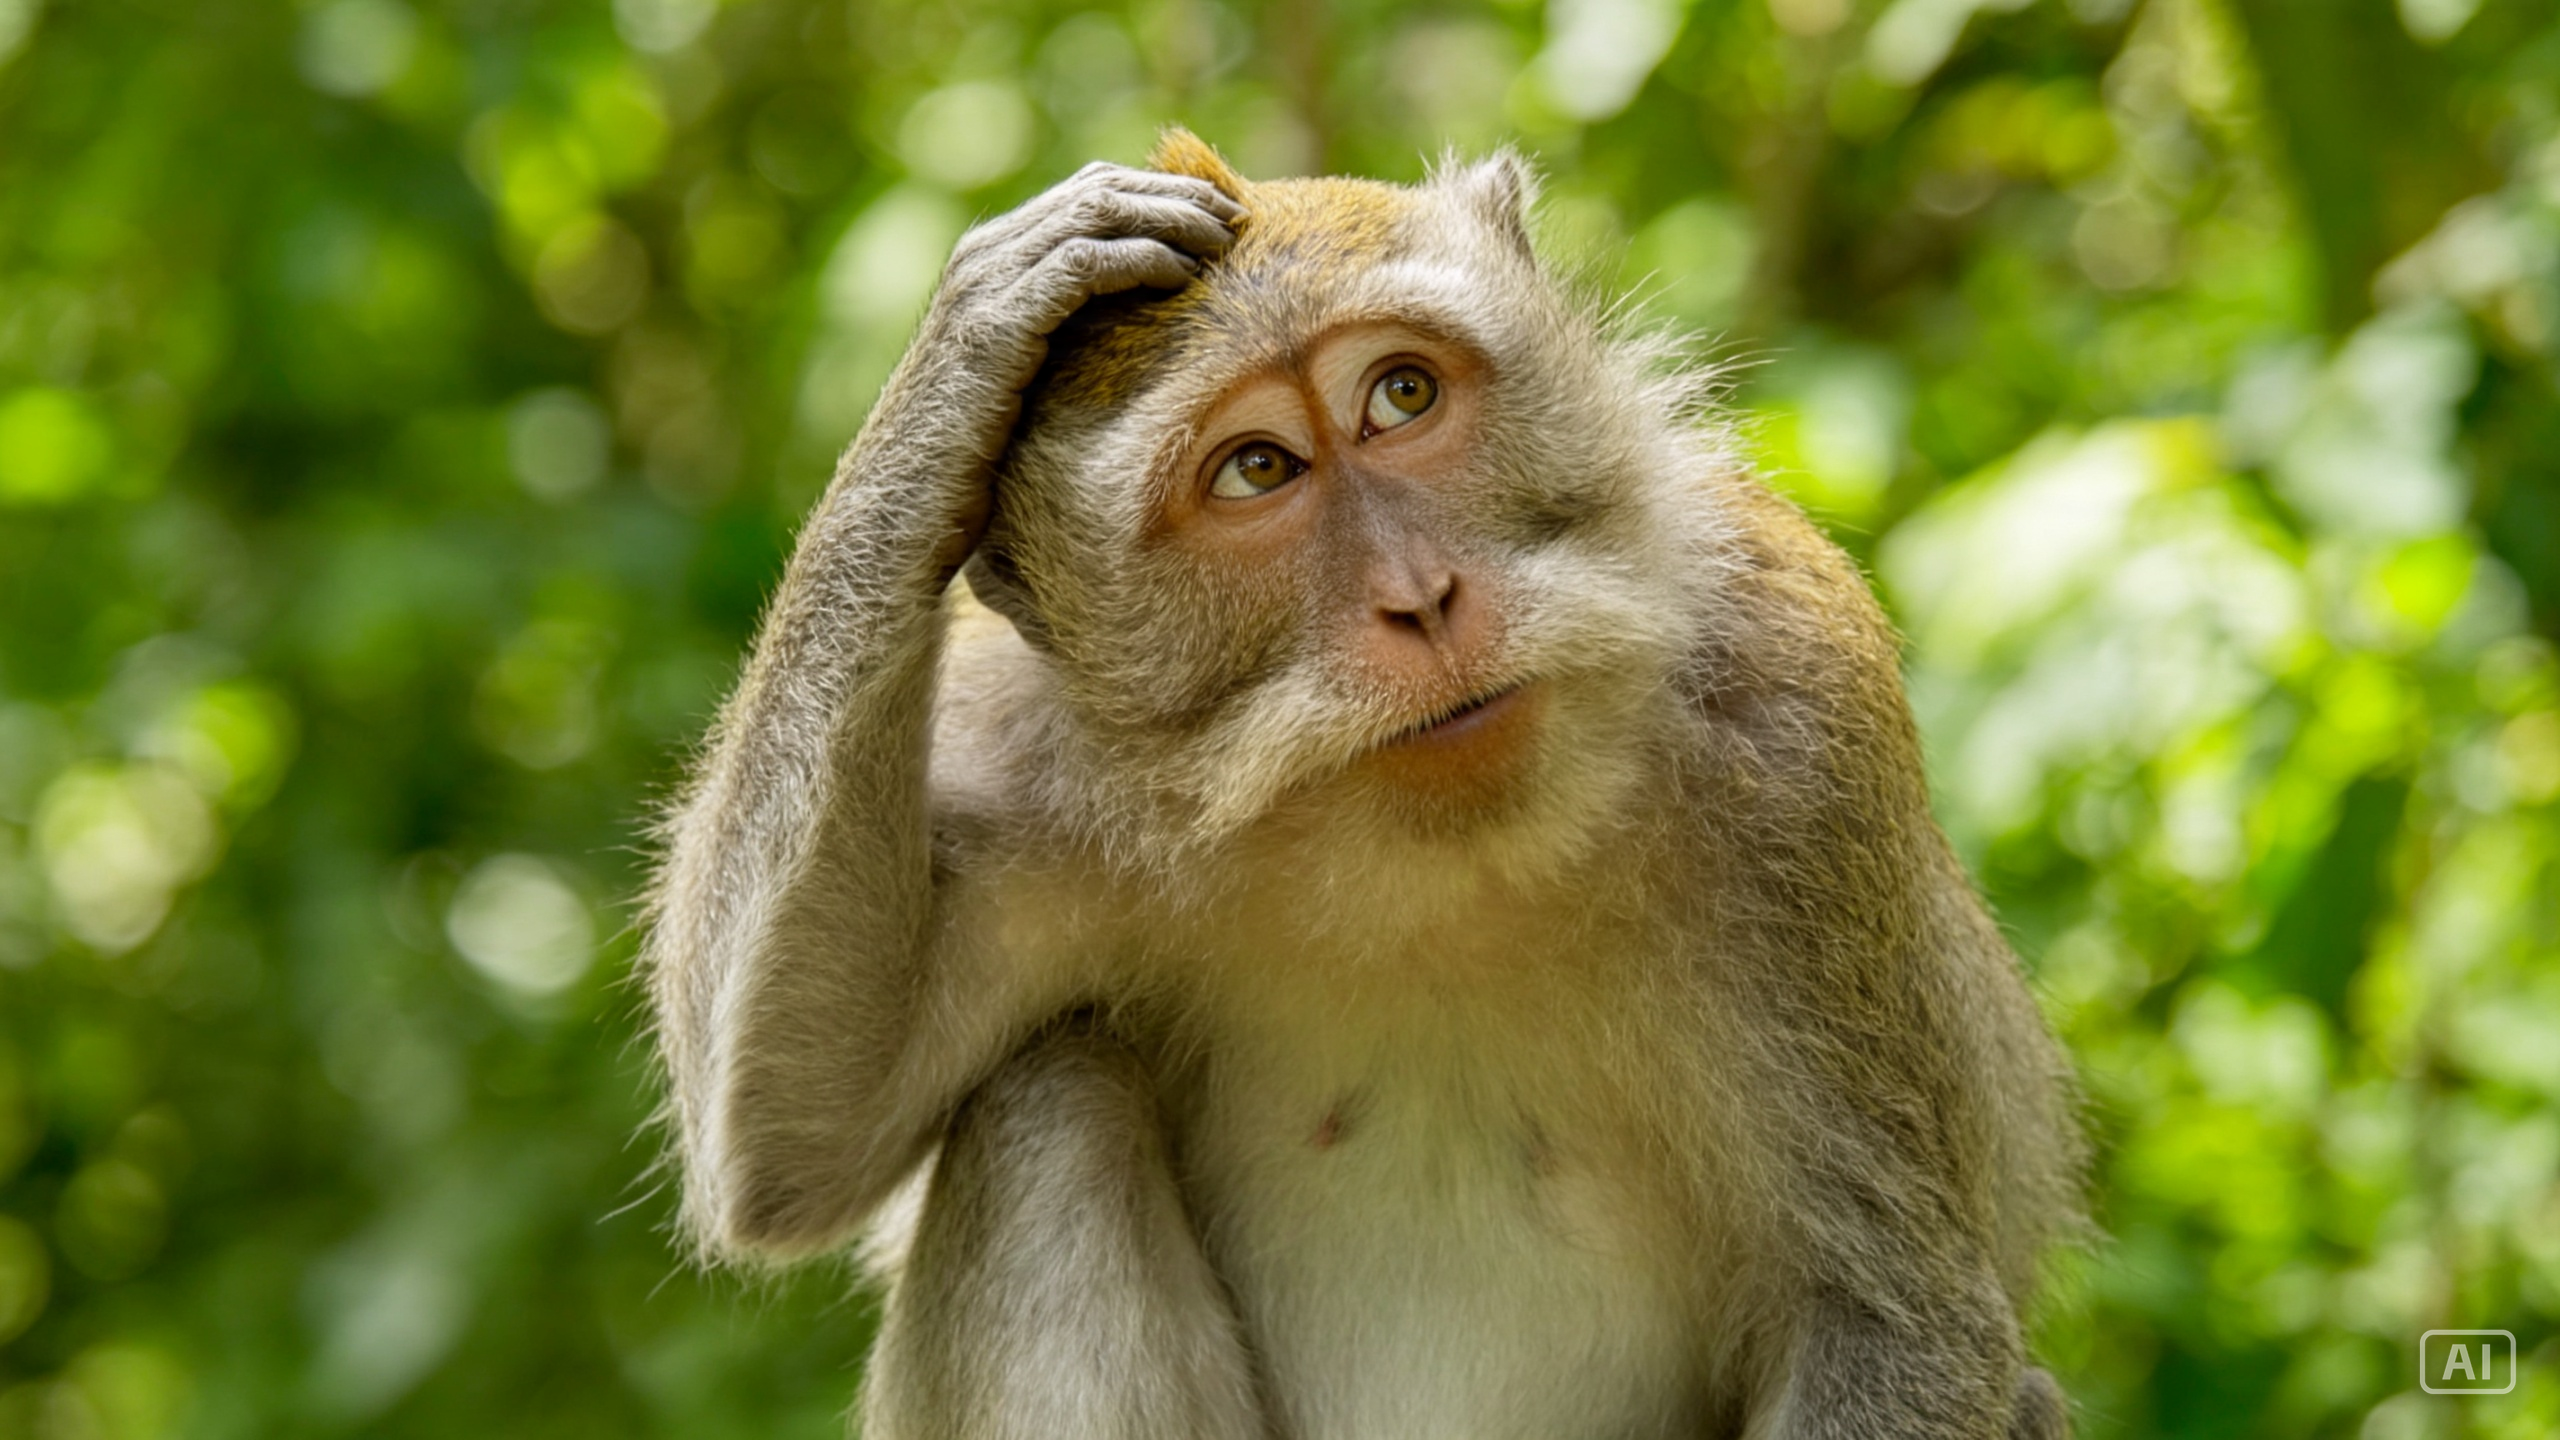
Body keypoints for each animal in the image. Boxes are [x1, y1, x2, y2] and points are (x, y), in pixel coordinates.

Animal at [642, 129, 2084, 1440]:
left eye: (1400, 395)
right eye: (1256, 469)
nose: (1422, 598)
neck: (1438, 856)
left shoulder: (1796, 725)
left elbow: (1881, 1316)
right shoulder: (1027, 753)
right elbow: (797, 1135)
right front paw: (961, 356)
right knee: (1043, 1102)